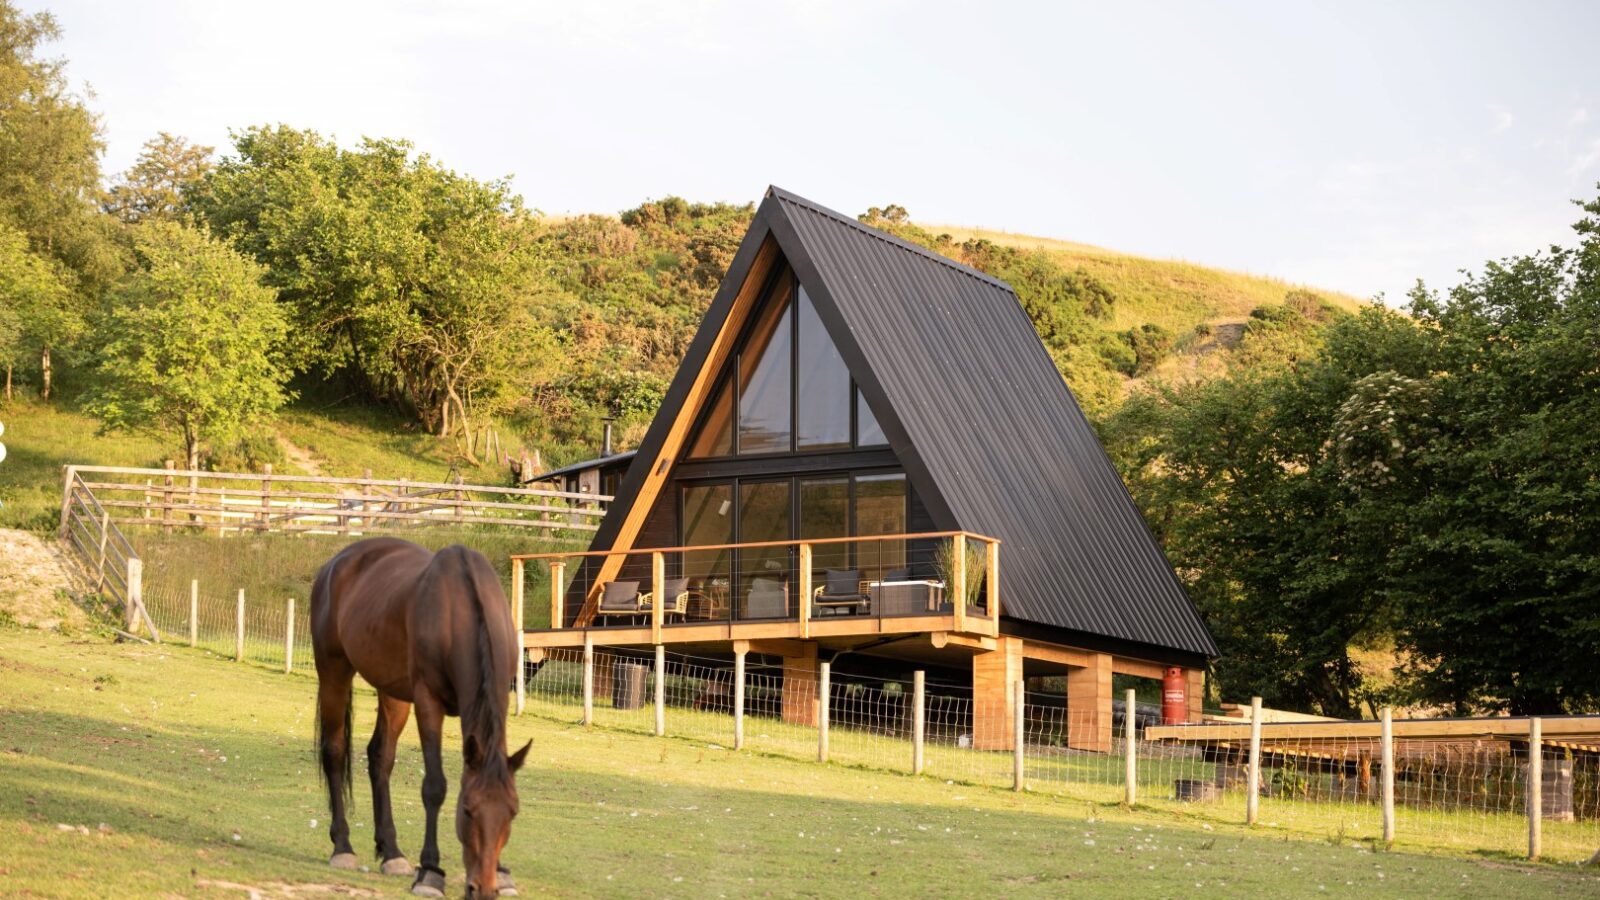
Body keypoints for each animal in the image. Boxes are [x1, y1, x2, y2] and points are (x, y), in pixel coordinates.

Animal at [312, 534, 531, 890]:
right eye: (467, 810)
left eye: (512, 811)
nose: (482, 885)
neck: (459, 612)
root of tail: (335, 563)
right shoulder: (428, 702)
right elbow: (435, 785)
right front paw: (430, 870)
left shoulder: (500, 698)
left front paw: (502, 872)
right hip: (333, 672)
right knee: (334, 752)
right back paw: (343, 847)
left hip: (393, 692)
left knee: (380, 758)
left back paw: (392, 852)